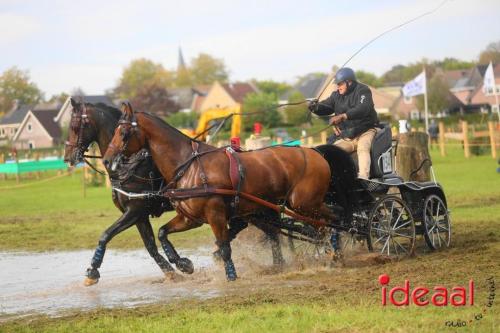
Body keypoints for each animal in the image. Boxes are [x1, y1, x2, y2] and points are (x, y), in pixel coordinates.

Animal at [102, 102, 338, 278]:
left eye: (123, 132)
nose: (107, 160)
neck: (189, 165)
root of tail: (315, 153)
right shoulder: (190, 217)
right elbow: (162, 234)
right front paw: (183, 264)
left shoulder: (214, 213)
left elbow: (224, 246)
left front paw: (230, 276)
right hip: (267, 209)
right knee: (292, 231)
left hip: (304, 204)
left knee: (331, 222)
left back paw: (334, 253)